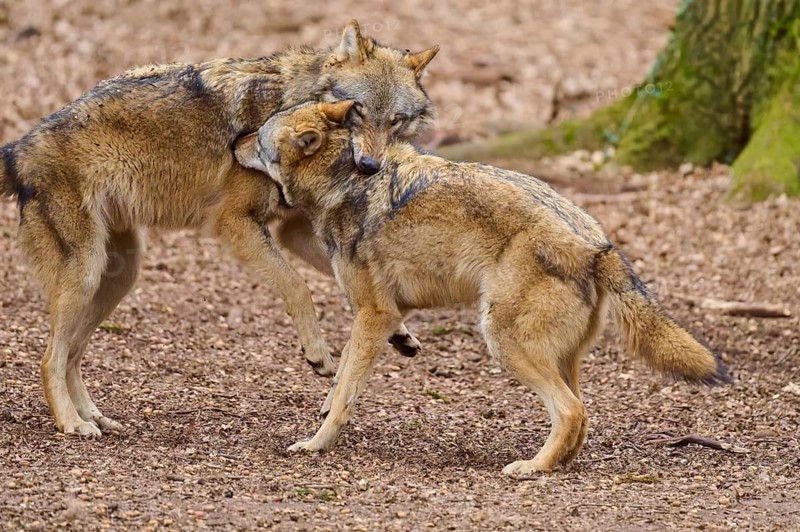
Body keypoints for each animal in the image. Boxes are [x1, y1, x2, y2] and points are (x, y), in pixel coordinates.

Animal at [0, 21, 438, 437]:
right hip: (88, 274)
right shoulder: (237, 222)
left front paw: (400, 333)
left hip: (118, 276)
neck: (290, 100)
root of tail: (18, 148)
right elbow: (298, 287)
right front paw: (316, 353)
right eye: (357, 111)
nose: (369, 166)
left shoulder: (292, 231)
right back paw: (72, 423)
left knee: (72, 355)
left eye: (395, 121)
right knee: (49, 358)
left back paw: (94, 417)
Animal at [235, 100, 730, 475]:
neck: (344, 178)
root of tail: (596, 245)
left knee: (571, 411)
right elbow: (343, 376)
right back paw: (556, 463)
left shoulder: (373, 312)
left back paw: (532, 469)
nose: (231, 140)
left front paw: (317, 443)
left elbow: (345, 393)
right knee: (583, 415)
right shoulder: (394, 309)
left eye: (258, 137)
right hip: (559, 356)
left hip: (503, 341)